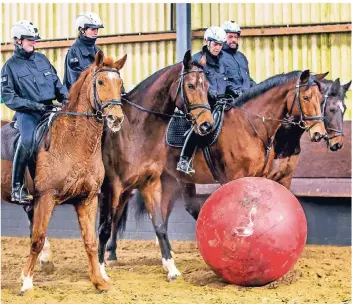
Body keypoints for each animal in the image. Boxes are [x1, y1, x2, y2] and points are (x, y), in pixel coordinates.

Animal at [0, 50, 127, 294]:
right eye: (100, 82)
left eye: (120, 84)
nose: (116, 118)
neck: (74, 143)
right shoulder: (46, 198)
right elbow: (37, 238)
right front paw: (26, 282)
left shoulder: (87, 199)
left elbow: (90, 241)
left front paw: (99, 281)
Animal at [96, 50, 213, 280]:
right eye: (190, 85)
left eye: (207, 85)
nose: (206, 125)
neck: (135, 130)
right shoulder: (111, 187)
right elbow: (103, 227)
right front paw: (99, 268)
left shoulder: (149, 183)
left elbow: (159, 224)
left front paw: (171, 267)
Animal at [105, 69, 330, 280]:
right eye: (306, 98)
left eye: (321, 99)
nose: (319, 133)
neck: (250, 125)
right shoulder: (234, 178)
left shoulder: (262, 178)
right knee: (118, 211)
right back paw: (111, 254)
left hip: (169, 179)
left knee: (166, 211)